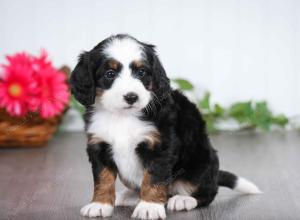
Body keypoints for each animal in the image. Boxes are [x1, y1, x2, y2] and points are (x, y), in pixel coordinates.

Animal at [69, 33, 260, 219]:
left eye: (142, 72)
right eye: (110, 74)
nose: (131, 97)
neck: (122, 116)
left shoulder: (161, 146)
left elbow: (154, 177)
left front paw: (149, 207)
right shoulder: (98, 145)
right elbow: (103, 178)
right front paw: (100, 205)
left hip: (201, 163)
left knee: (206, 193)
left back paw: (183, 199)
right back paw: (128, 196)